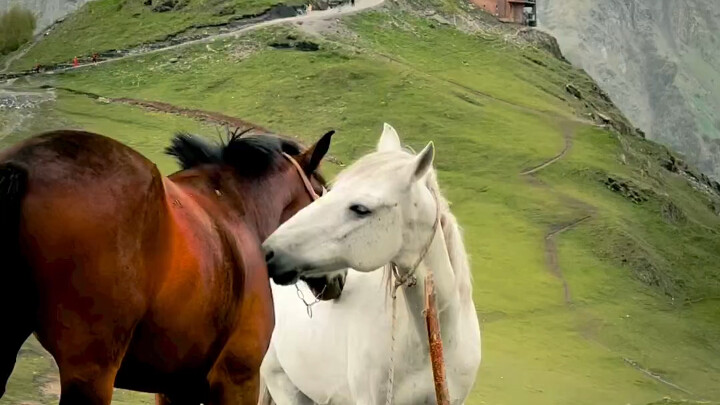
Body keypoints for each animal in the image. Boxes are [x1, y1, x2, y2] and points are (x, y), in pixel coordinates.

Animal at [0, 128, 346, 405]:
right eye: (325, 196)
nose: (340, 278)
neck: (237, 210)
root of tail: (24, 165)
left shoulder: (175, 387)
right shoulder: (238, 377)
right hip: (91, 375)